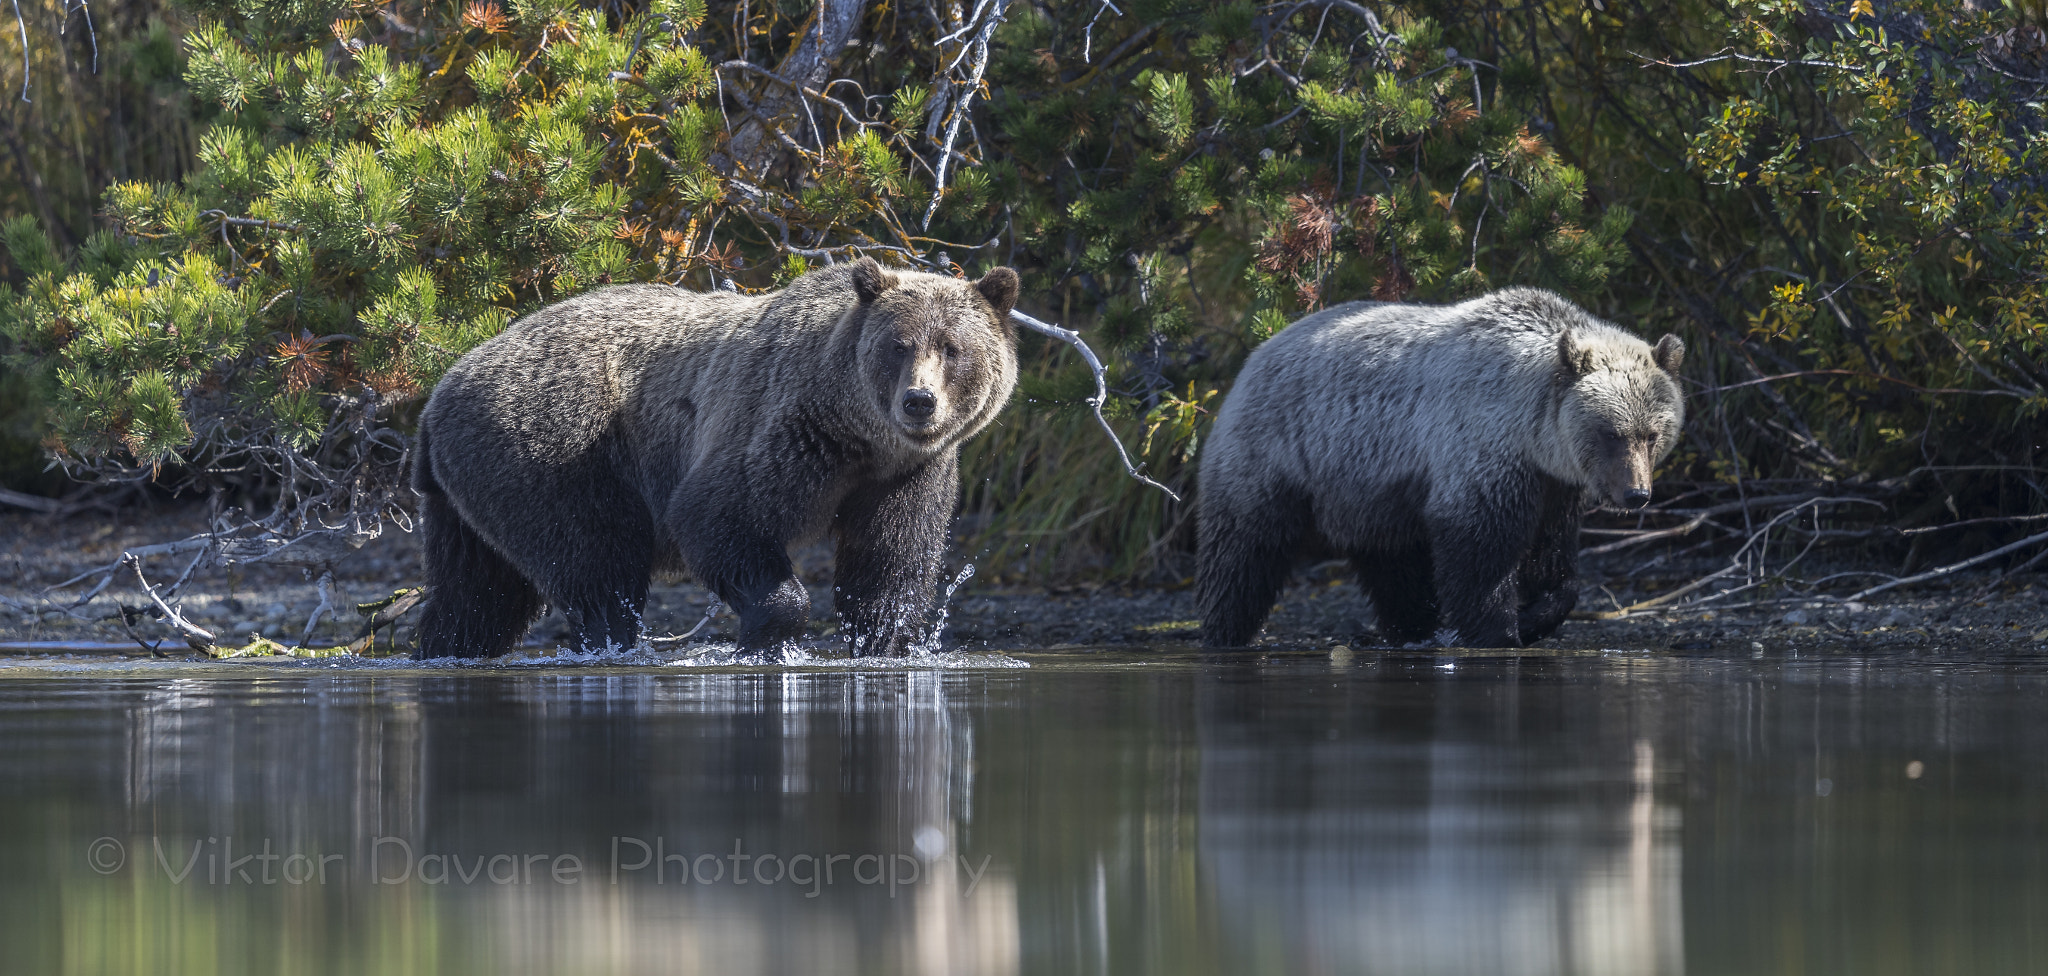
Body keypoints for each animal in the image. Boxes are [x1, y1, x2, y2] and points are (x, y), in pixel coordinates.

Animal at [411, 256, 1019, 654]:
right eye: (898, 345)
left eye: (953, 348)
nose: (919, 401)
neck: (860, 435)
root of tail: (438, 393)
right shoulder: (781, 427)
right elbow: (717, 513)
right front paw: (769, 632)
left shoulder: (906, 474)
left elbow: (889, 563)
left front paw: (887, 638)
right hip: (551, 448)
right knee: (597, 567)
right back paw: (611, 642)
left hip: (473, 492)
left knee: (478, 596)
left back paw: (446, 647)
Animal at [1196, 292, 1687, 650]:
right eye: (1610, 432)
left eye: (1652, 433)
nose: (1636, 494)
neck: (1533, 433)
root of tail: (1255, 353)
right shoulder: (1481, 447)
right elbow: (1479, 548)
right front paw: (1496, 630)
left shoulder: (1555, 483)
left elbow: (1552, 557)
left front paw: (1533, 614)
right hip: (1275, 454)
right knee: (1244, 549)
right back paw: (1225, 632)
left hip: (1371, 488)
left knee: (1394, 564)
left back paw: (1412, 629)